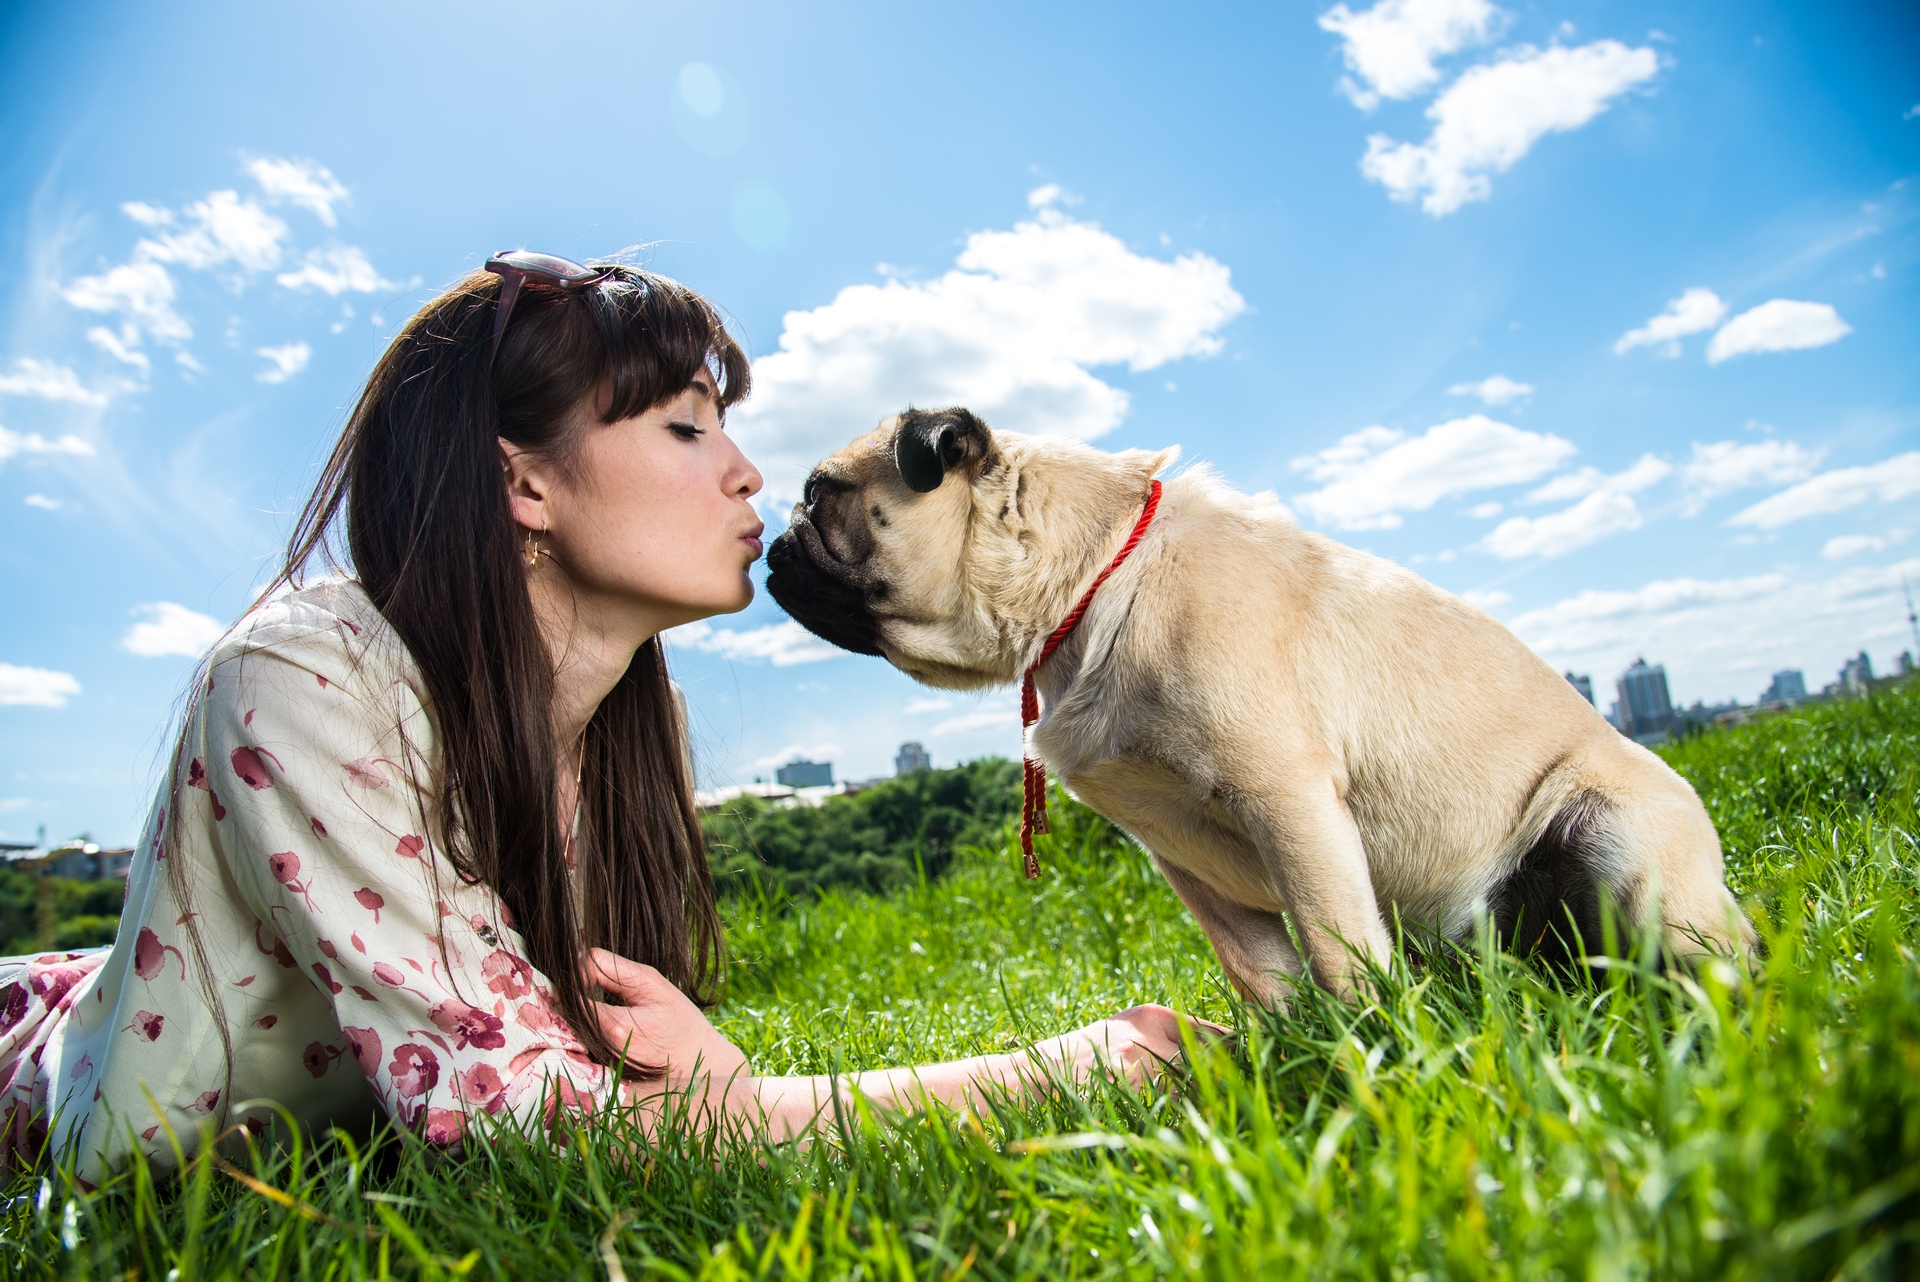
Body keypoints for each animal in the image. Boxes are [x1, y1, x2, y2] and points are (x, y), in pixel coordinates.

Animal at [764, 410, 1758, 997]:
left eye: (820, 495)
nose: (774, 540)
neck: (1092, 587)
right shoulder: (1184, 861)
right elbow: (1264, 974)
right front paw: (1285, 1060)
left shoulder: (1289, 804)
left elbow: (1335, 950)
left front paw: (1368, 1060)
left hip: (1620, 839)